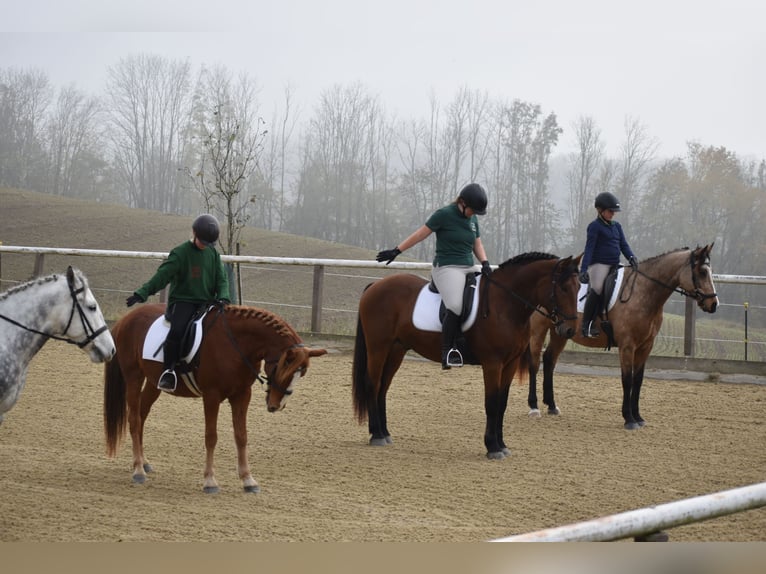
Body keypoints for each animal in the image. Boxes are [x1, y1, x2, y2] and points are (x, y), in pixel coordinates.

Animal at [104, 306, 328, 496]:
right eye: (284, 370)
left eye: (302, 374)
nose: (276, 406)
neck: (236, 344)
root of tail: (127, 317)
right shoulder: (211, 395)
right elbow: (211, 436)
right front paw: (210, 481)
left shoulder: (242, 395)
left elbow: (241, 436)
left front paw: (248, 480)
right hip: (133, 376)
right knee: (134, 419)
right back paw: (138, 470)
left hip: (153, 382)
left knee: (142, 415)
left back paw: (143, 462)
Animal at [354, 254, 584, 462]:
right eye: (564, 288)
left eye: (578, 286)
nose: (570, 329)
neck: (505, 304)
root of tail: (376, 285)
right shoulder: (492, 364)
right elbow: (491, 403)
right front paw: (492, 447)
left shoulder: (509, 364)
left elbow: (502, 403)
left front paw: (502, 445)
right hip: (378, 347)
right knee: (373, 383)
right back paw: (376, 435)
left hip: (396, 350)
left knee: (383, 387)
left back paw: (385, 433)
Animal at [528, 245, 720, 430]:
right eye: (702, 272)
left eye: (710, 271)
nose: (713, 304)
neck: (643, 291)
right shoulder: (627, 346)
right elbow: (627, 380)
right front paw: (629, 419)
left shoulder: (645, 346)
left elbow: (638, 380)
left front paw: (638, 417)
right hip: (538, 330)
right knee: (535, 363)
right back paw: (534, 406)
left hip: (561, 332)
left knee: (549, 360)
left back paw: (552, 406)